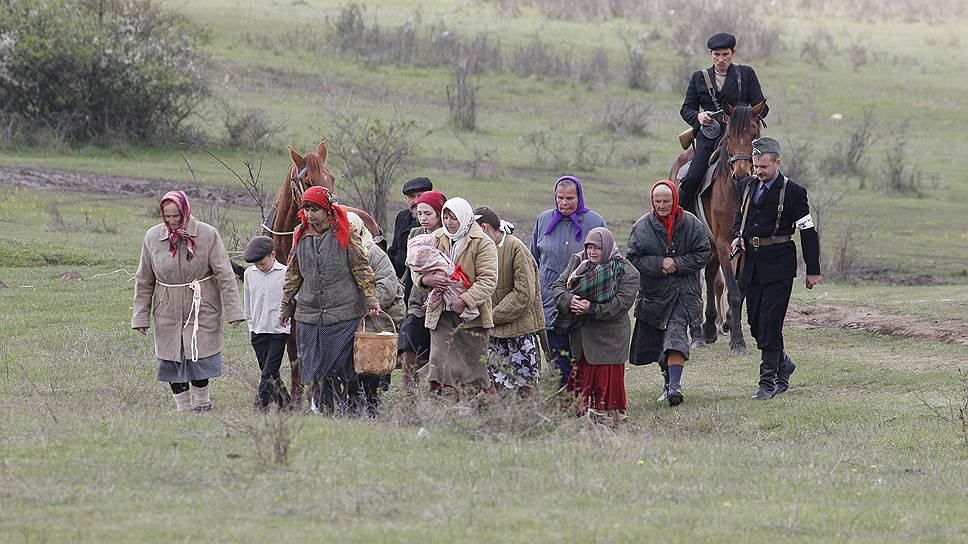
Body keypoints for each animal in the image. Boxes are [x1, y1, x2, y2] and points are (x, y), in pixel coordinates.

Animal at [270, 140, 384, 400]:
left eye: (330, 177)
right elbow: (295, 351)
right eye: (308, 180)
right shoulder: (292, 306)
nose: (333, 210)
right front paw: (297, 395)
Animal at [672, 101, 764, 356]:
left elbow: (740, 288)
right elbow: (732, 289)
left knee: (712, 275)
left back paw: (710, 328)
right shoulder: (723, 242)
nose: (742, 172)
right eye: (730, 135)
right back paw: (698, 334)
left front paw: (729, 325)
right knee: (701, 281)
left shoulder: (745, 244)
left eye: (754, 135)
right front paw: (738, 343)